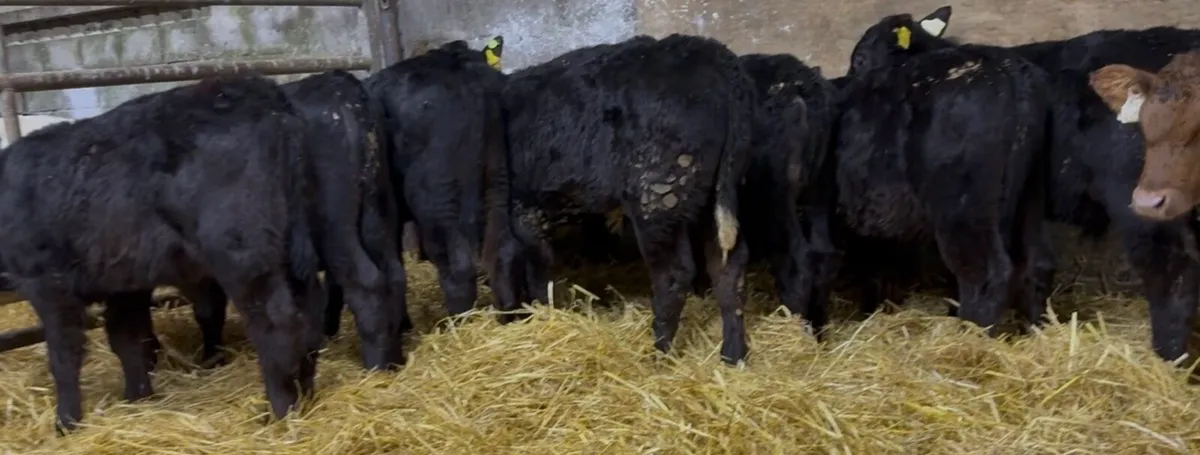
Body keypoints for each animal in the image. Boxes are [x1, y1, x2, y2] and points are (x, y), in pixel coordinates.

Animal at [0, 74, 324, 432]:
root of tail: (260, 92)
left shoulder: (45, 280)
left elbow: (63, 353)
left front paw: (66, 421)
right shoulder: (123, 281)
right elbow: (127, 339)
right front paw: (137, 398)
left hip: (243, 252)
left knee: (275, 320)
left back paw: (279, 410)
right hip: (292, 241)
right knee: (309, 311)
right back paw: (306, 392)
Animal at [180, 70, 411, 371]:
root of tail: (339, 85)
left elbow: (208, 308)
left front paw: (210, 356)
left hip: (335, 228)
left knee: (365, 283)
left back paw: (375, 366)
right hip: (381, 211)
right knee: (393, 275)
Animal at [484, 34, 757, 364]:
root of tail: (710, 52)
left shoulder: (524, 211)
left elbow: (530, 267)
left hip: (656, 198)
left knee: (674, 274)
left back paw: (659, 352)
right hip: (715, 194)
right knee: (728, 266)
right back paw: (732, 355)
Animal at [829, 7, 1058, 334]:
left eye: (859, 58)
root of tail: (1012, 74)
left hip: (962, 207)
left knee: (986, 272)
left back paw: (971, 335)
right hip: (1033, 197)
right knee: (1038, 264)